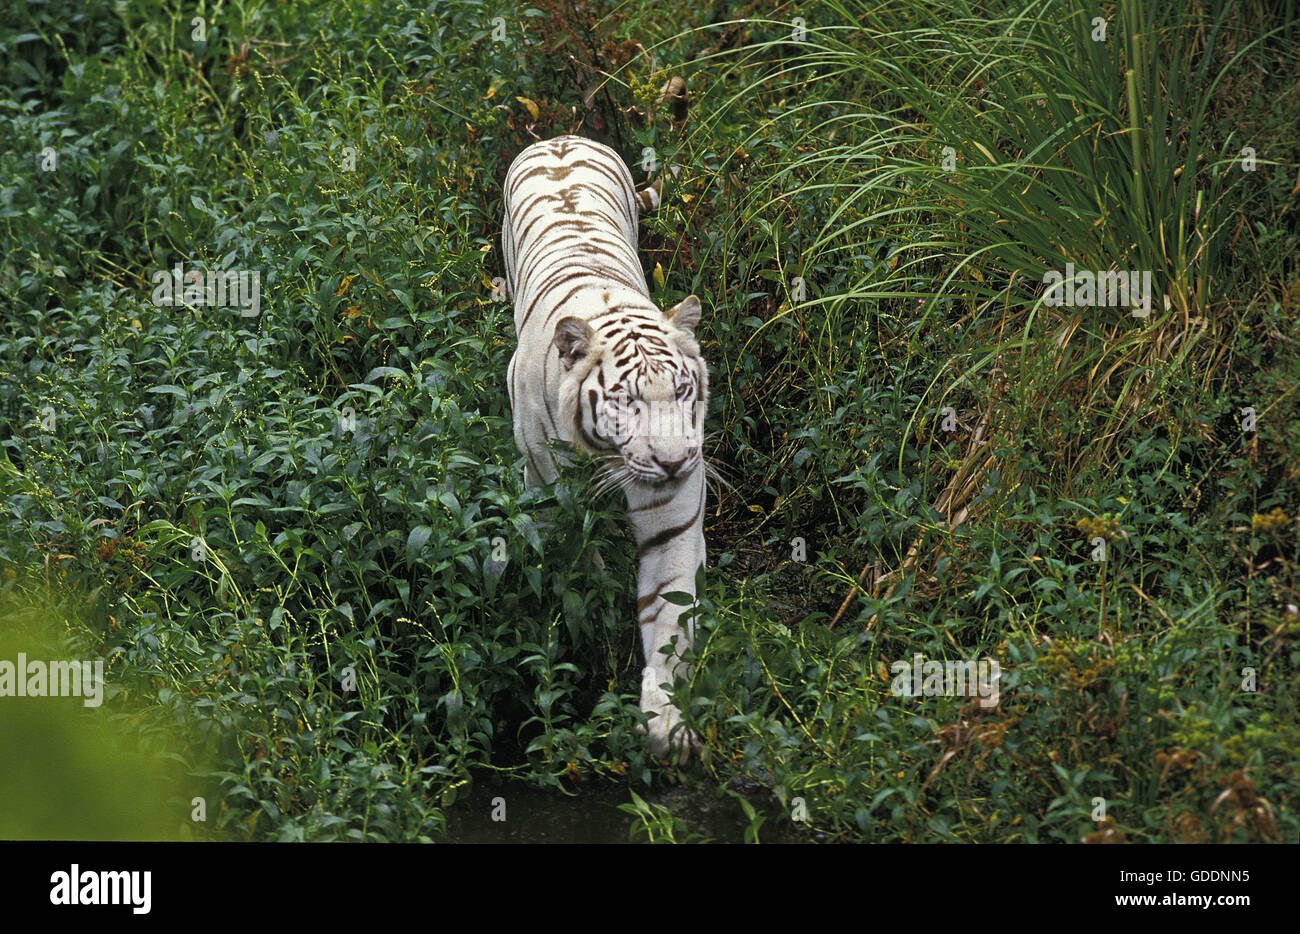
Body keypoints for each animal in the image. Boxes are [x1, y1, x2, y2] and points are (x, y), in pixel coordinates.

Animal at [504, 139, 712, 770]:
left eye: (684, 392)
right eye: (626, 401)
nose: (674, 464)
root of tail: (562, 138)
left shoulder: (671, 519)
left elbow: (668, 617)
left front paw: (667, 725)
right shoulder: (548, 485)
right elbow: (578, 565)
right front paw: (593, 622)